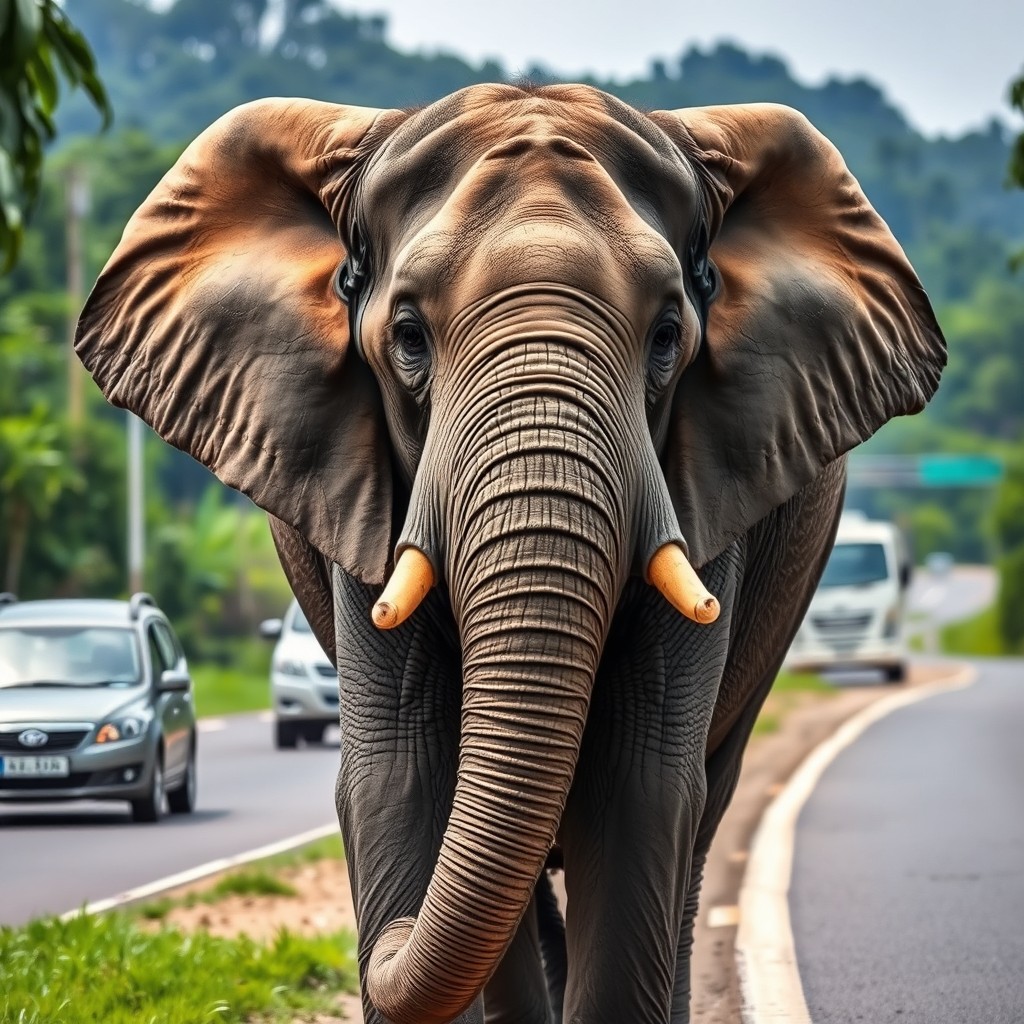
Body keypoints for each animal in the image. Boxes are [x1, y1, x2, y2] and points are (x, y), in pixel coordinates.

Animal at [75, 83, 945, 1023]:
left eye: (668, 336)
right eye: (408, 337)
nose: (380, 942)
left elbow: (638, 785)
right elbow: (401, 771)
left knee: (697, 815)